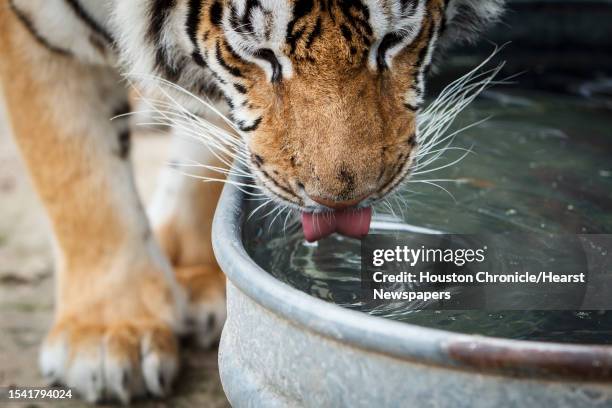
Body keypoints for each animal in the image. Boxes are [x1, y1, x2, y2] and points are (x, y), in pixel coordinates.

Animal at [0, 0, 502, 404]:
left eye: (394, 40)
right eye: (259, 53)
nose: (343, 200)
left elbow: (209, 139)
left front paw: (195, 275)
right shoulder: (30, 33)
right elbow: (77, 168)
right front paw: (109, 335)